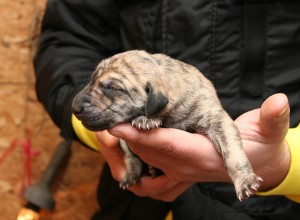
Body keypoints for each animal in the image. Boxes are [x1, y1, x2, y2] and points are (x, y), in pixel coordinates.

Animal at [72, 50, 262, 201]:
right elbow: (129, 155)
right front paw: (147, 120)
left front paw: (245, 181)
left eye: (112, 88)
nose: (74, 108)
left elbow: (232, 154)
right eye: (91, 80)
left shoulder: (216, 119)